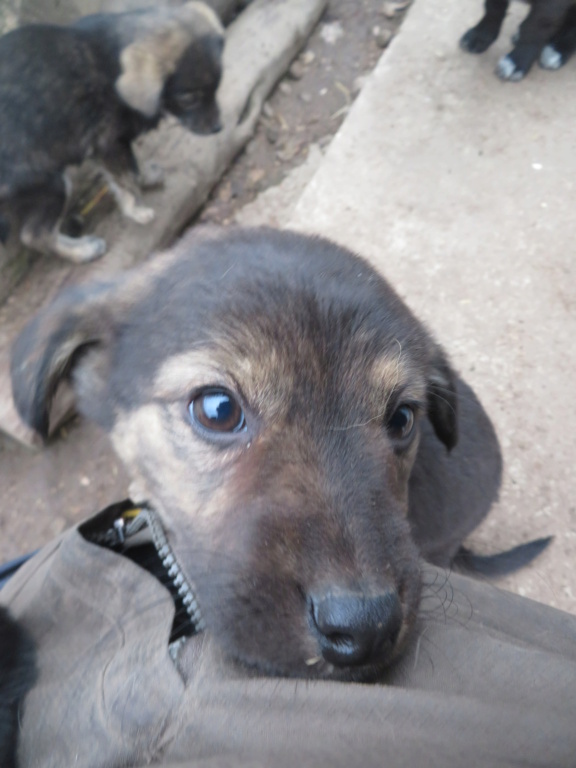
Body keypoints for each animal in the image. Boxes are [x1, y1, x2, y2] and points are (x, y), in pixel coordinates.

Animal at [0, 2, 225, 264]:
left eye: (217, 86)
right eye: (188, 99)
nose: (218, 128)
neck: (112, 62)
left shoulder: (118, 142)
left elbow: (132, 166)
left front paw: (146, 176)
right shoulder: (106, 144)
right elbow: (125, 178)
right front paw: (137, 210)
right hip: (50, 183)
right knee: (34, 235)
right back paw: (83, 251)